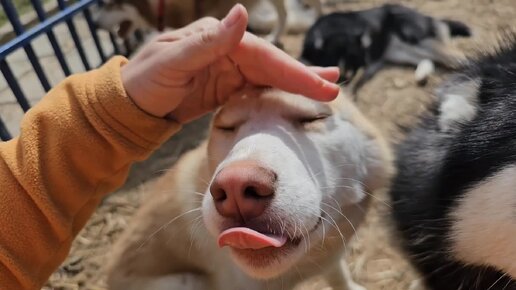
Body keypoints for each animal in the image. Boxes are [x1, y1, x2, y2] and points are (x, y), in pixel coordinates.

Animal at [298, 3, 472, 94]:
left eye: (349, 76)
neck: (337, 31)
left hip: (414, 36)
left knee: (454, 53)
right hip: (400, 51)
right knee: (427, 59)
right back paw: (421, 74)